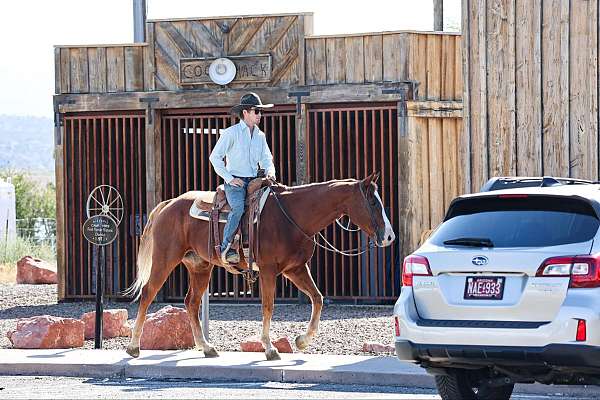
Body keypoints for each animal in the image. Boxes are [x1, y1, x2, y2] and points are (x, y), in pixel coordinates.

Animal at [125, 172, 396, 360]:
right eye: (373, 203)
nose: (390, 237)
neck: (294, 216)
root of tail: (170, 203)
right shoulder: (268, 270)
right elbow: (268, 306)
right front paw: (269, 348)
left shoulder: (296, 269)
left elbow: (318, 298)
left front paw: (302, 341)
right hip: (165, 259)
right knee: (148, 294)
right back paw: (134, 347)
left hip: (200, 266)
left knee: (191, 302)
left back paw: (207, 347)